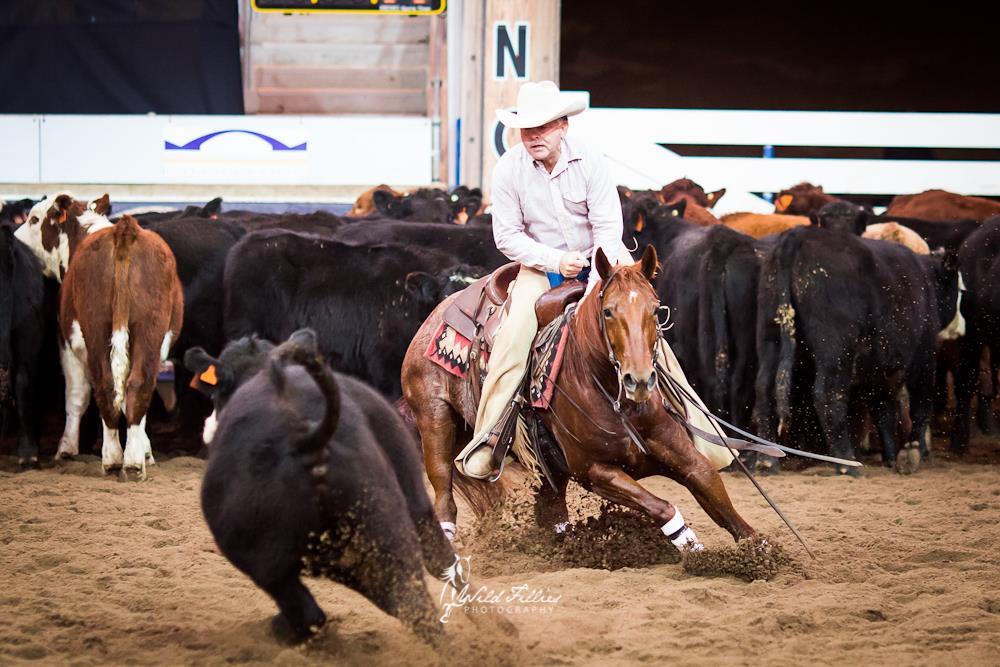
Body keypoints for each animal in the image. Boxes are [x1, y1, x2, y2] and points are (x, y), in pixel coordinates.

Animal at [401, 245, 758, 546]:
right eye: (609, 311)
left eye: (656, 310)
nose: (639, 379)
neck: (616, 399)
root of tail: (439, 312)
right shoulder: (593, 471)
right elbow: (661, 506)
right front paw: (688, 543)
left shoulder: (676, 448)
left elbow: (709, 483)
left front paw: (758, 553)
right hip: (435, 419)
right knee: (443, 489)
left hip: (545, 465)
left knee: (551, 508)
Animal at [753, 226, 963, 475]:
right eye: (960, 289)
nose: (961, 327)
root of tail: (798, 234)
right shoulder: (924, 355)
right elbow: (920, 404)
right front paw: (912, 450)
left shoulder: (879, 368)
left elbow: (883, 410)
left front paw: (891, 456)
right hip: (835, 351)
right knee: (829, 395)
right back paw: (846, 463)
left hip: (770, 338)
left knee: (764, 389)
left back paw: (767, 461)